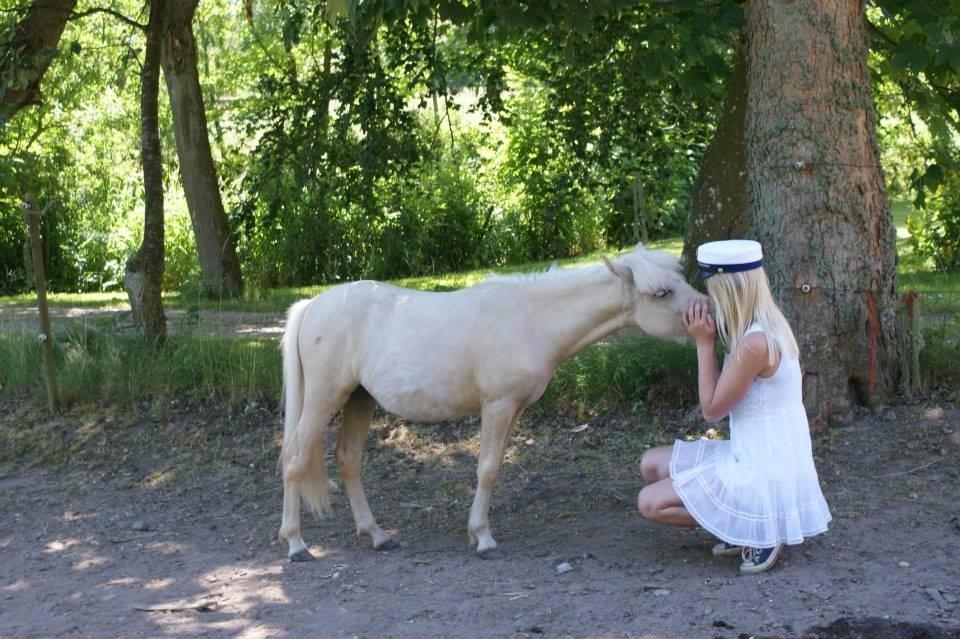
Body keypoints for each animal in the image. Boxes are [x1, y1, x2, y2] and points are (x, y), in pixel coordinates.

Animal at [278, 244, 705, 561]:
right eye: (662, 293)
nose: (707, 314)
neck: (531, 318)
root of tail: (313, 305)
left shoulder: (513, 409)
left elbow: (496, 466)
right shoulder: (497, 406)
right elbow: (485, 469)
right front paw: (483, 538)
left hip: (359, 400)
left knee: (348, 459)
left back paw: (377, 534)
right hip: (323, 400)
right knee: (296, 459)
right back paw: (296, 543)